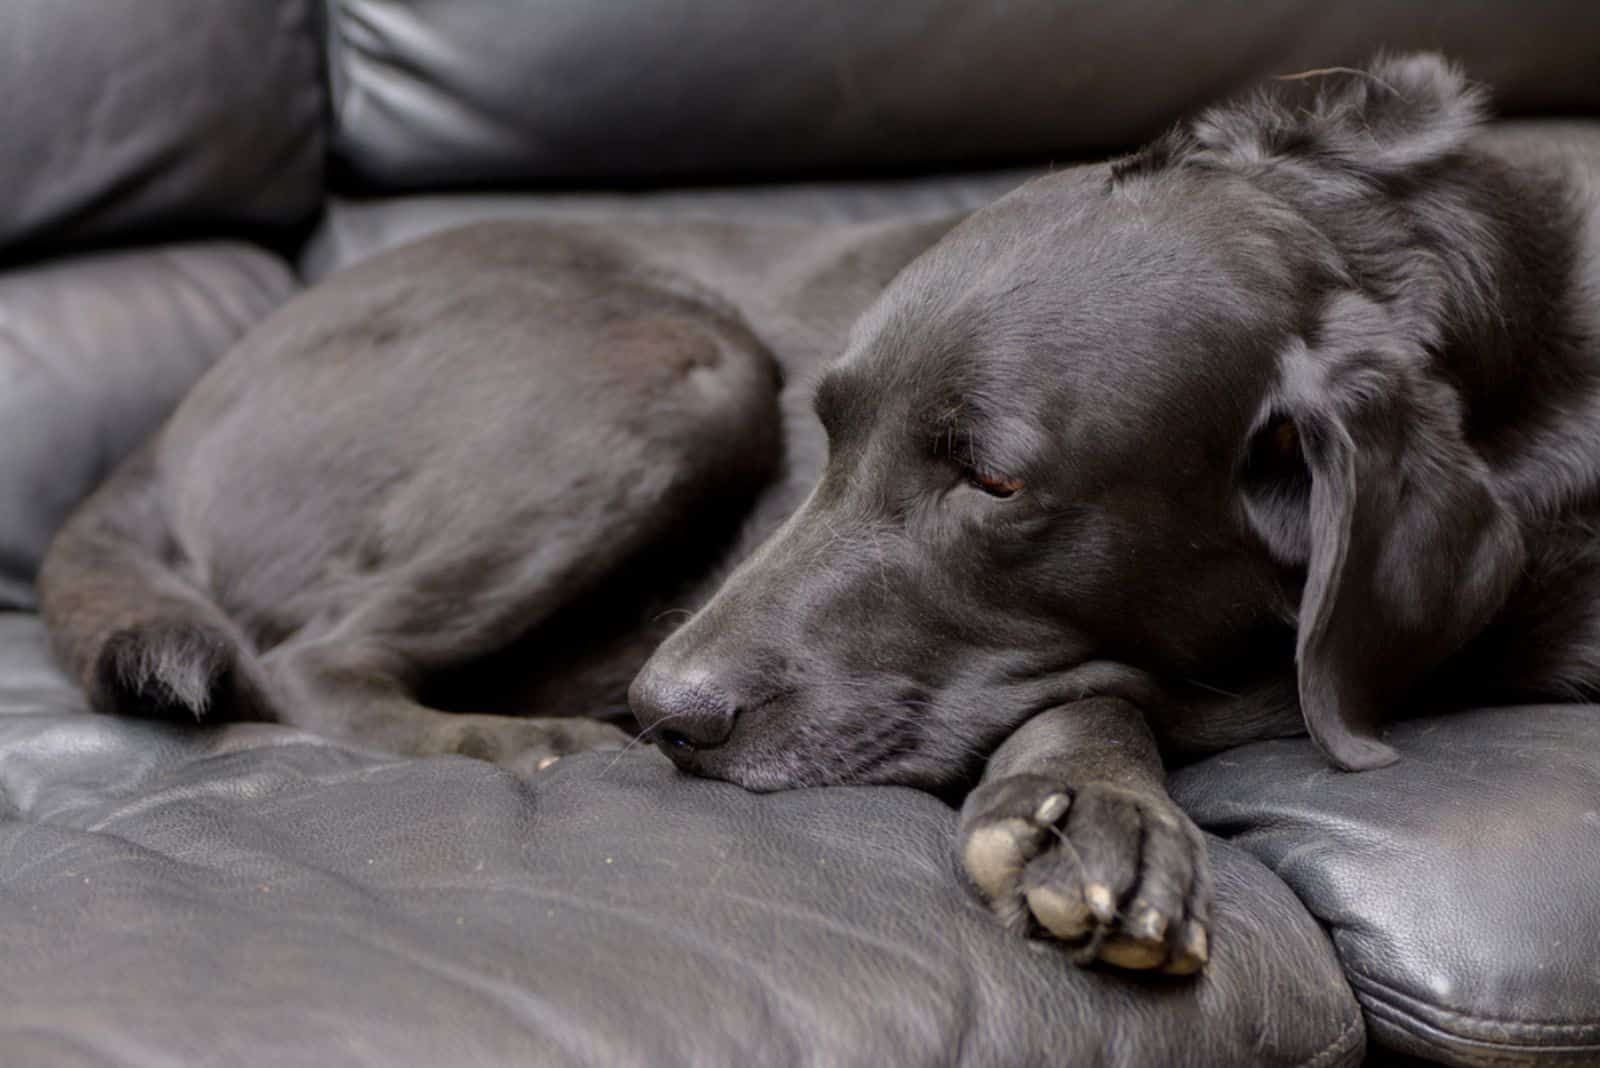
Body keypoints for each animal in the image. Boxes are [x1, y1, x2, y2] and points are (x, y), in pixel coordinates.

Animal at [37, 56, 1600, 978]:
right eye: (829, 430)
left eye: (994, 483)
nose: (665, 710)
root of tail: (154, 438)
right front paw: (1085, 811)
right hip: (684, 362)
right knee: (310, 662)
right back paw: (534, 747)